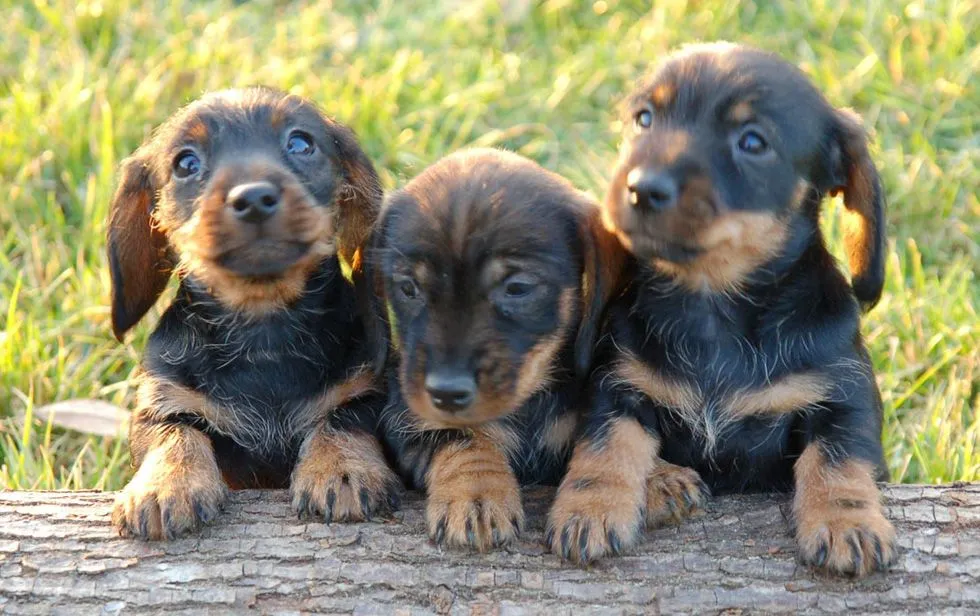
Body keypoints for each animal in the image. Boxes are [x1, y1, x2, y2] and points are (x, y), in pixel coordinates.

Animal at [107, 86, 398, 540]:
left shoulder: (368, 390)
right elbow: (174, 430)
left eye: (301, 143)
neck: (264, 334)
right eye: (185, 162)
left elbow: (343, 418)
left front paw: (341, 470)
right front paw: (165, 486)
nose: (254, 198)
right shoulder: (163, 399)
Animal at [368, 150, 620, 552]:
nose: (446, 392)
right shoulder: (407, 420)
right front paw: (477, 496)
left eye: (517, 288)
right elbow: (462, 437)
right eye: (408, 287)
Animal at [552, 43, 896, 576]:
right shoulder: (618, 385)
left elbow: (838, 458)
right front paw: (591, 507)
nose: (640, 188)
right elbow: (607, 446)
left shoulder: (844, 396)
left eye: (752, 142)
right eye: (645, 118)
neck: (710, 306)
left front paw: (847, 522)